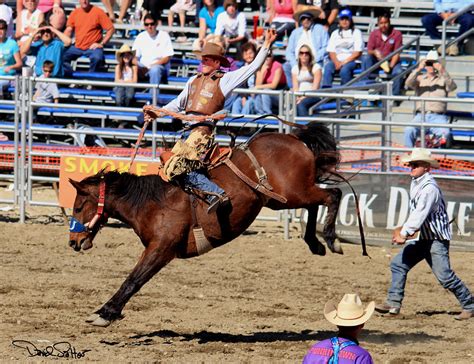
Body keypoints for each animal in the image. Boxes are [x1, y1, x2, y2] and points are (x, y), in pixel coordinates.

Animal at [69, 123, 352, 328]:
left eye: (78, 207)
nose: (73, 242)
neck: (151, 202)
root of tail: (296, 139)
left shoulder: (161, 248)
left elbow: (134, 279)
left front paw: (104, 313)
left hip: (294, 193)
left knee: (333, 195)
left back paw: (331, 239)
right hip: (282, 199)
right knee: (316, 204)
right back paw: (315, 243)